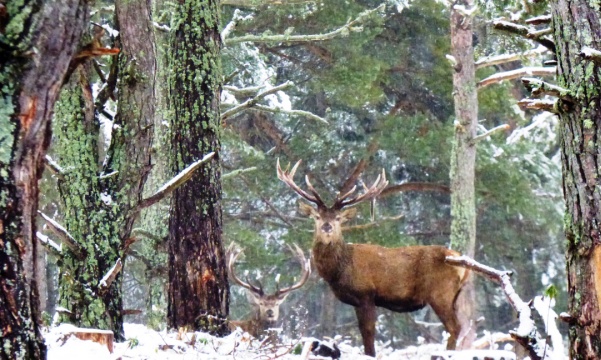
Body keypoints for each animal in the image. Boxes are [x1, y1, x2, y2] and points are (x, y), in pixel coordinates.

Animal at [276, 161, 468, 358]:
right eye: (317, 217)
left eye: (338, 218)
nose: (327, 227)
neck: (340, 270)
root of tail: (462, 264)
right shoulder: (357, 301)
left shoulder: (366, 294)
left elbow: (368, 334)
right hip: (454, 296)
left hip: (440, 293)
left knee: (454, 328)